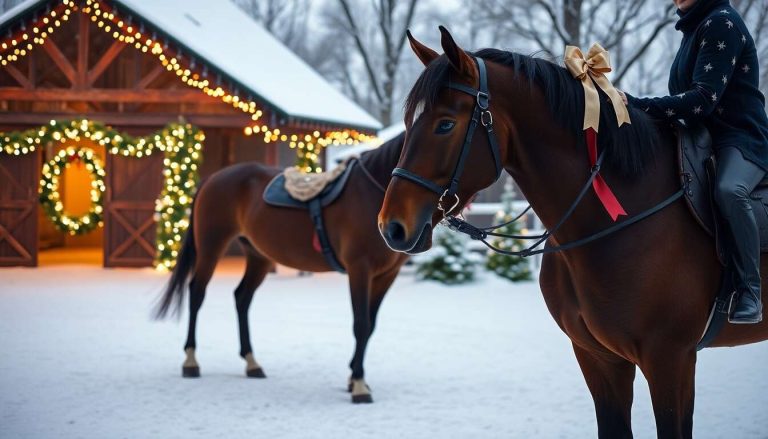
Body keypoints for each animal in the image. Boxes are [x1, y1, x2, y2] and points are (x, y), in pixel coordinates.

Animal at [155, 133, 408, 404]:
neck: (373, 192)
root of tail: (213, 178)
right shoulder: (359, 269)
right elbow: (361, 324)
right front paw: (359, 386)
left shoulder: (386, 275)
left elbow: (370, 325)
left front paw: (354, 379)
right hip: (212, 246)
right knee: (197, 293)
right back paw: (191, 361)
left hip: (258, 257)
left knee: (242, 297)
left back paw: (251, 363)